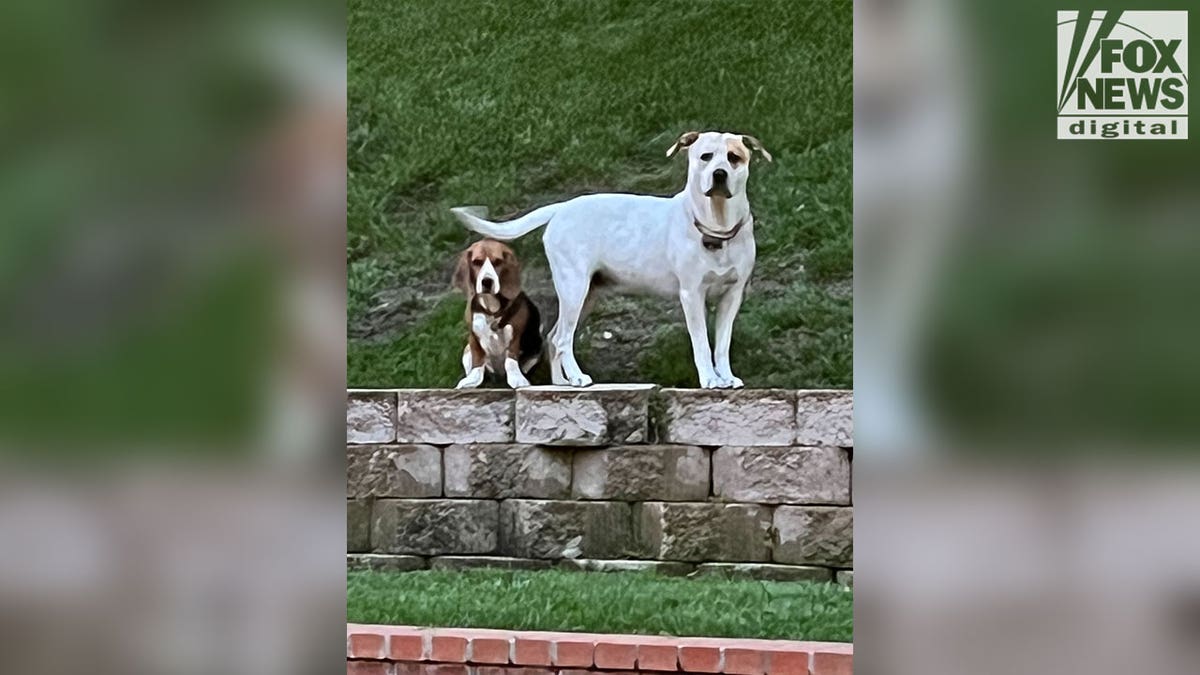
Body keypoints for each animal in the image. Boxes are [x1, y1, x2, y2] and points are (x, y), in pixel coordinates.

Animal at [451, 237, 542, 386]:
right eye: (477, 262)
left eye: (498, 262)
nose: (487, 281)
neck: (490, 310)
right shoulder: (473, 337)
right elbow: (478, 361)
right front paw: (472, 379)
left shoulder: (514, 335)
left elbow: (511, 360)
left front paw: (517, 379)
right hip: (466, 350)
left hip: (537, 347)